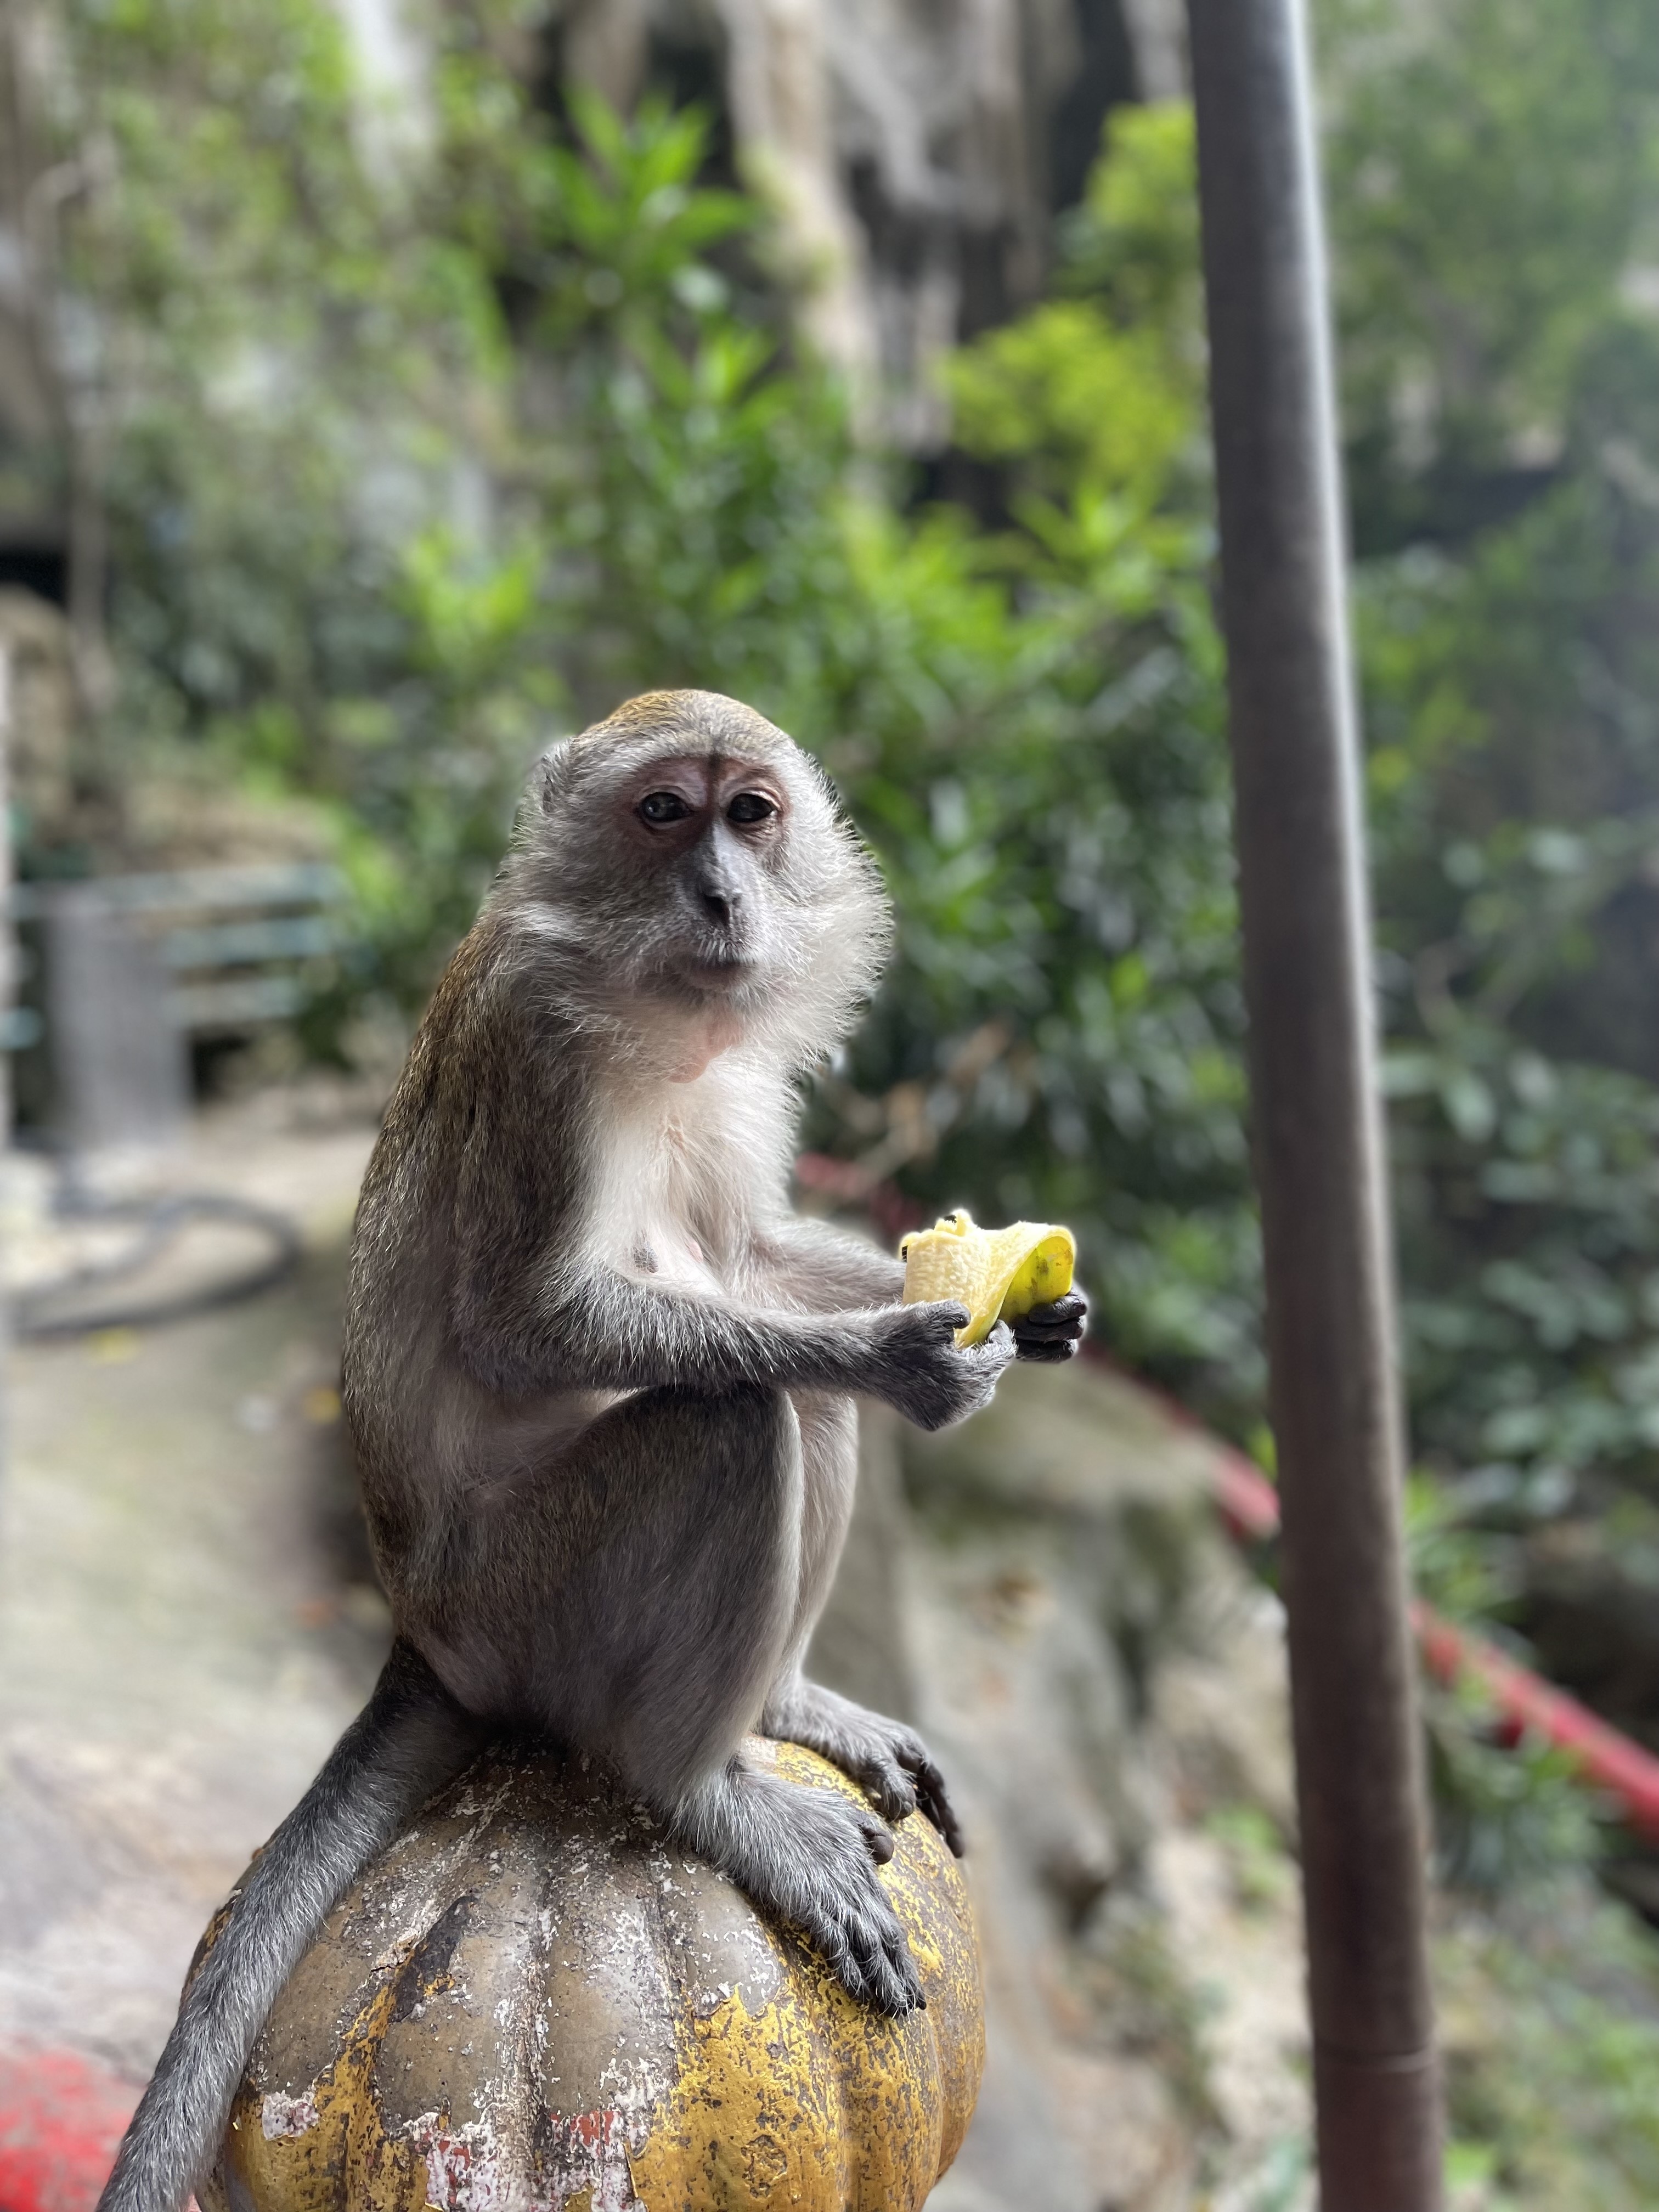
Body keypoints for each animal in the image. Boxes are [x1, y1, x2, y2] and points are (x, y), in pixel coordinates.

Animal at [98, 689, 1087, 2212]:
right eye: (664, 812)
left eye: (751, 814)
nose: (726, 895)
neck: (654, 1015)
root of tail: (422, 1634)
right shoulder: (537, 1050)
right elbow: (527, 1328)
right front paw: (903, 1358)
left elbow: (750, 1261)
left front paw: (1019, 1311)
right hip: (531, 1604)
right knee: (734, 1419)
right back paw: (704, 1787)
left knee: (777, 1389)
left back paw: (786, 1706)